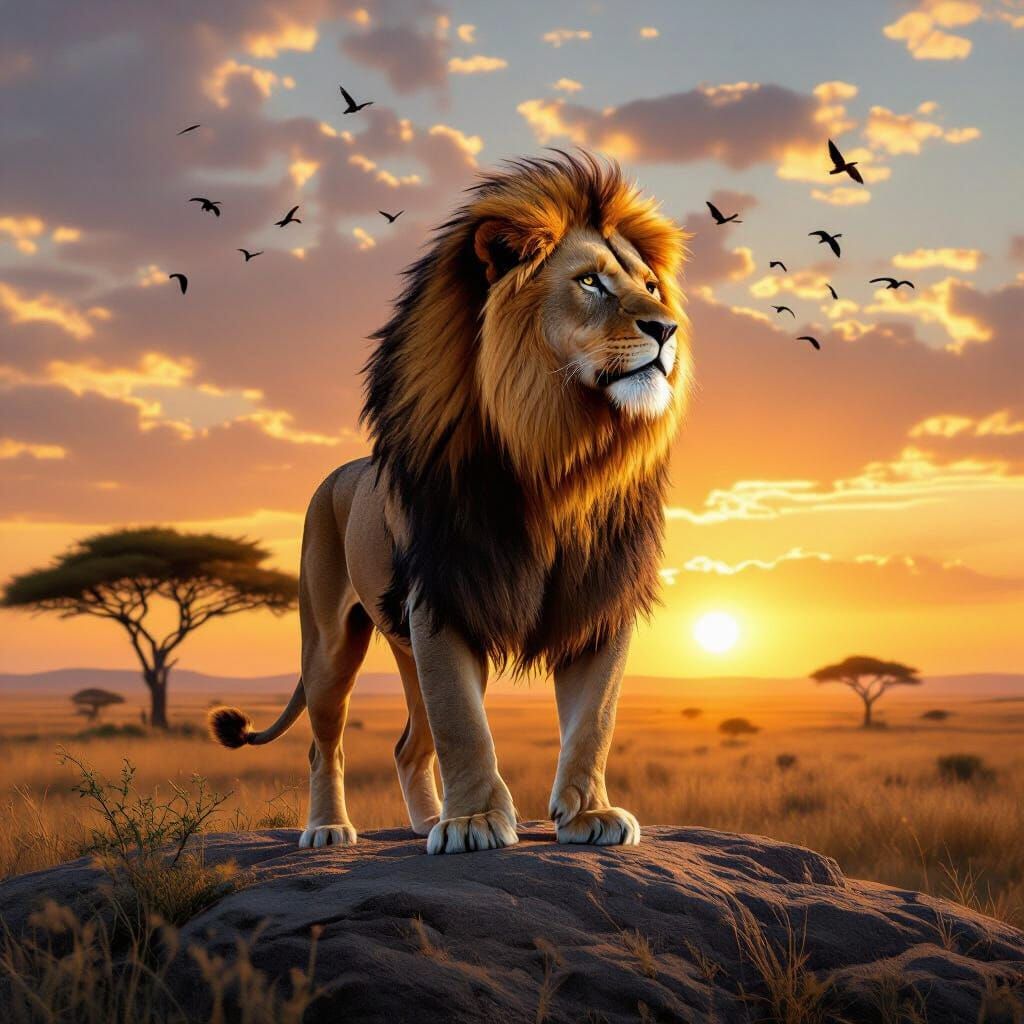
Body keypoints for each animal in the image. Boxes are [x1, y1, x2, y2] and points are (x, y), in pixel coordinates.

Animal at [210, 152, 690, 855]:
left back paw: (424, 821)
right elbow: (464, 724)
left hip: (407, 649)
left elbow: (593, 720)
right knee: (326, 745)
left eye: (651, 287)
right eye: (590, 283)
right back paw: (329, 829)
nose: (665, 327)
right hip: (329, 643)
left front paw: (589, 814)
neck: (559, 459)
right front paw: (475, 824)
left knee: (410, 744)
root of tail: (338, 475)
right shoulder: (443, 596)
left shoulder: (599, 598)